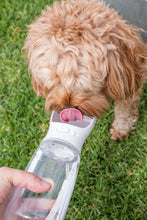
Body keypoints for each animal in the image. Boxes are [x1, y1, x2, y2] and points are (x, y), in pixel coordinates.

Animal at [23, 0, 146, 140]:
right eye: (54, 81)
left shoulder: (130, 79)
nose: (68, 108)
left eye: (82, 83)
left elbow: (124, 111)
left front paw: (120, 129)